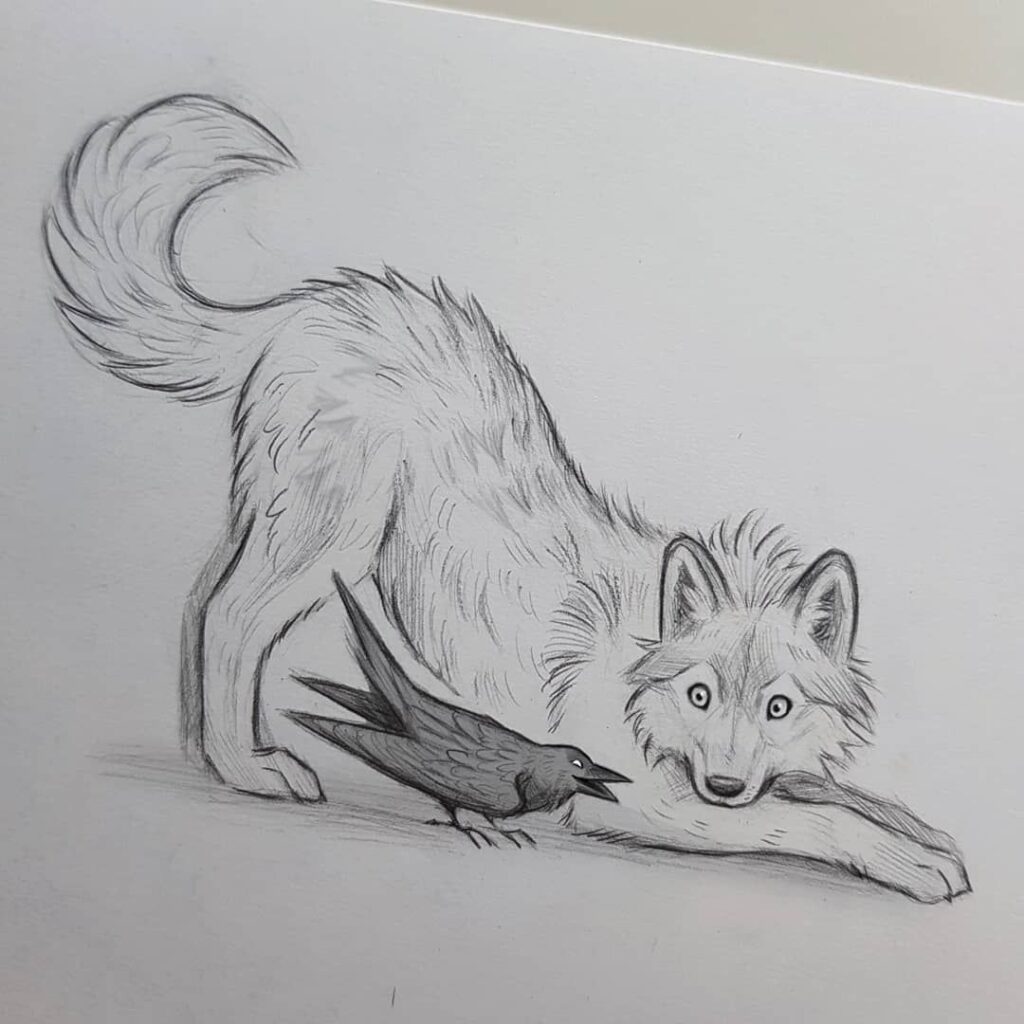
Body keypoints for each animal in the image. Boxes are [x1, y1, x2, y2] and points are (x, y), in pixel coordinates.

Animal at [44, 94, 969, 902]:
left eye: (777, 705)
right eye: (700, 695)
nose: (725, 780)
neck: (640, 674)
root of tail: (312, 304)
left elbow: (837, 797)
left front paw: (929, 835)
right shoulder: (645, 801)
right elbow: (808, 822)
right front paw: (915, 864)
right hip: (325, 541)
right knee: (226, 617)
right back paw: (250, 769)